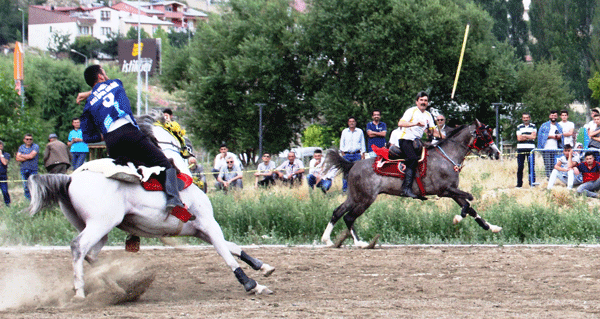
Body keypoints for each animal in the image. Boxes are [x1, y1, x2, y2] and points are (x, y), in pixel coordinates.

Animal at [26, 112, 274, 300]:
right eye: (179, 132)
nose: (191, 150)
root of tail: (70, 178)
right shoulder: (208, 224)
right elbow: (226, 253)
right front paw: (252, 284)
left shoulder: (199, 230)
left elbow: (232, 246)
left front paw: (263, 266)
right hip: (100, 224)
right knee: (78, 248)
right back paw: (81, 292)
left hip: (96, 230)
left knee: (91, 256)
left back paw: (116, 286)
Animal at [324, 120, 502, 248]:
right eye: (485, 136)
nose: (497, 153)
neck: (447, 156)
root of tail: (352, 165)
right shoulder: (445, 190)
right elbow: (469, 201)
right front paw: (458, 218)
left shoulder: (453, 191)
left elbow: (470, 208)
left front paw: (491, 227)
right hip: (365, 199)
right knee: (348, 217)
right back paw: (360, 243)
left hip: (355, 197)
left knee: (337, 212)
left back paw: (327, 240)